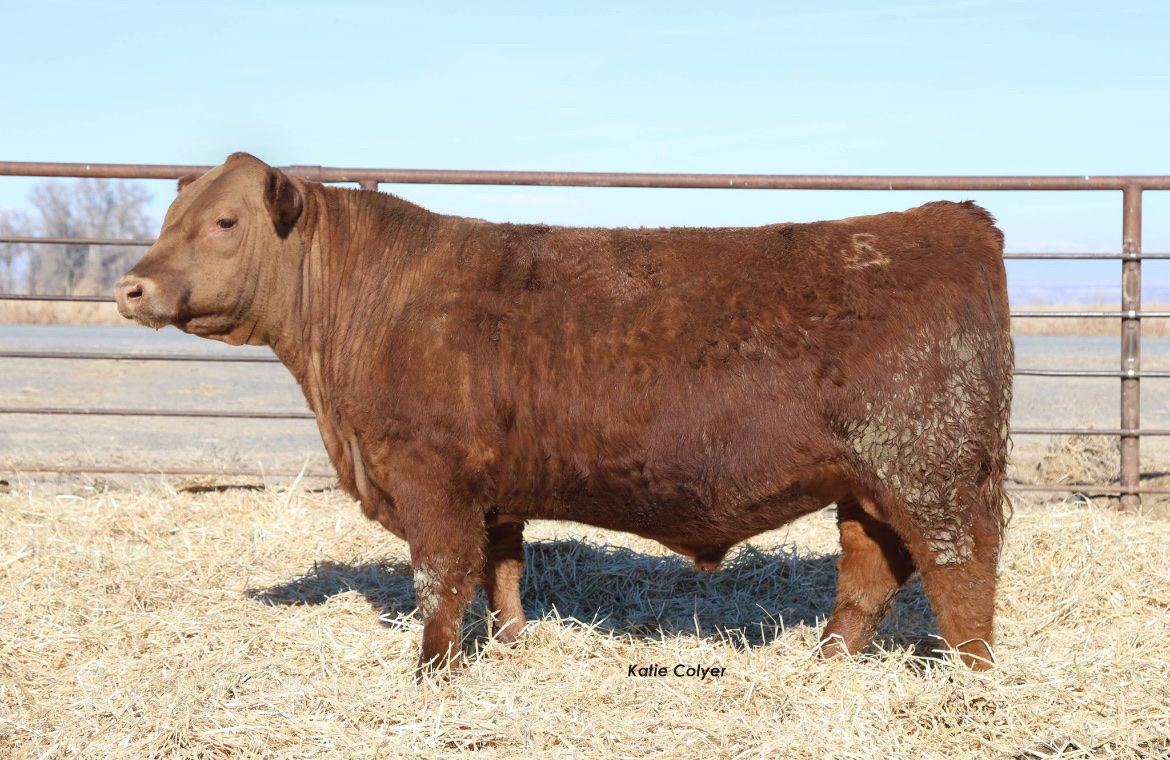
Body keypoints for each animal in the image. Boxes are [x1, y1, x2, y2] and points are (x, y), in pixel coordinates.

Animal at [116, 152, 1013, 673]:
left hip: (927, 470)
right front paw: (512, 648)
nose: (132, 286)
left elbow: (439, 578)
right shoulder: (493, 490)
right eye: (168, 218)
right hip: (865, 483)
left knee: (962, 574)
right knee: (871, 572)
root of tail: (954, 218)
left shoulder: (430, 477)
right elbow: (501, 573)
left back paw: (967, 686)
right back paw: (825, 665)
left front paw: (432, 672)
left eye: (225, 221)